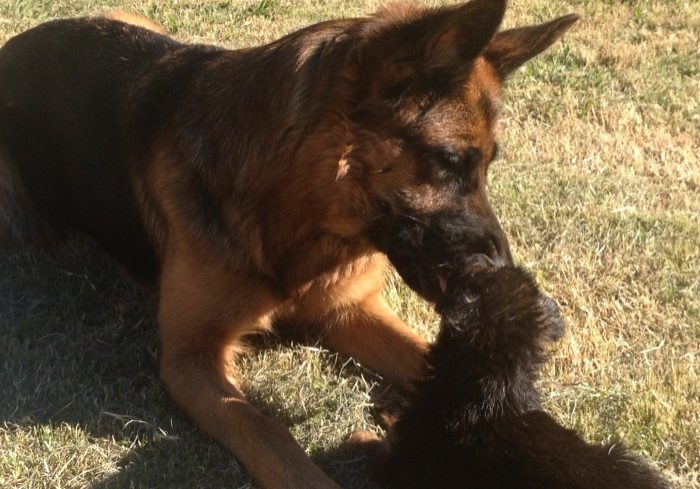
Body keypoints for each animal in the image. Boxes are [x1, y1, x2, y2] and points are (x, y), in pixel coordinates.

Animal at [0, 1, 580, 486]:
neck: (295, 223)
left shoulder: (348, 311)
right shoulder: (190, 360)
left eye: (487, 166)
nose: (508, 275)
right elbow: (269, 434)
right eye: (450, 161)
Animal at [352, 224, 668, 484]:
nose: (482, 254)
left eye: (476, 274)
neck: (494, 383)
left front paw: (362, 434)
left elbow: (378, 448)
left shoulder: (408, 460)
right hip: (622, 454)